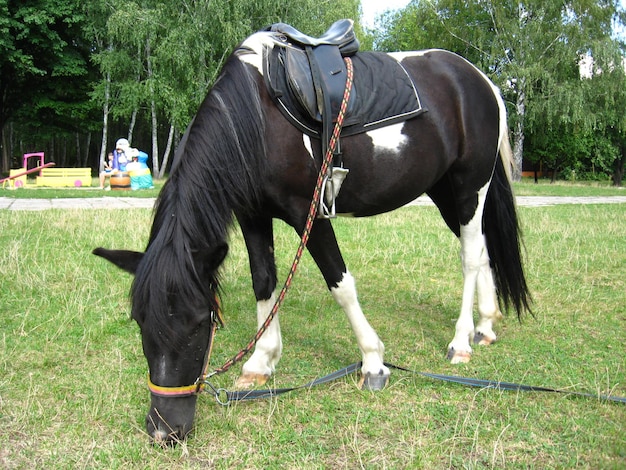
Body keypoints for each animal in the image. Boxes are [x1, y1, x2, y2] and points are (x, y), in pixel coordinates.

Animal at [95, 21, 528, 440]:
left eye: (200, 323)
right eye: (140, 321)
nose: (163, 430)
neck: (257, 118)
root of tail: (481, 80)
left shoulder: (310, 214)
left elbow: (341, 285)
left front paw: (373, 362)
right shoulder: (252, 214)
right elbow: (263, 281)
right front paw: (260, 361)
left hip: (469, 188)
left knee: (470, 256)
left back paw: (461, 341)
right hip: (445, 193)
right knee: (484, 249)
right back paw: (485, 326)